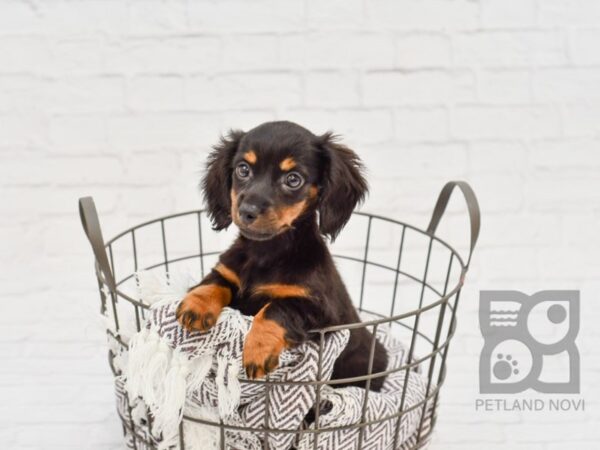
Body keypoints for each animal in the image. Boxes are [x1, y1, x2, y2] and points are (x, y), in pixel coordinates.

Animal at [177, 120, 390, 390]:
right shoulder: (227, 272)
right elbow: (214, 282)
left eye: (293, 179)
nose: (246, 211)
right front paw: (197, 305)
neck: (266, 252)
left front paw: (258, 349)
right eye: (243, 169)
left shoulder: (320, 310)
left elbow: (275, 308)